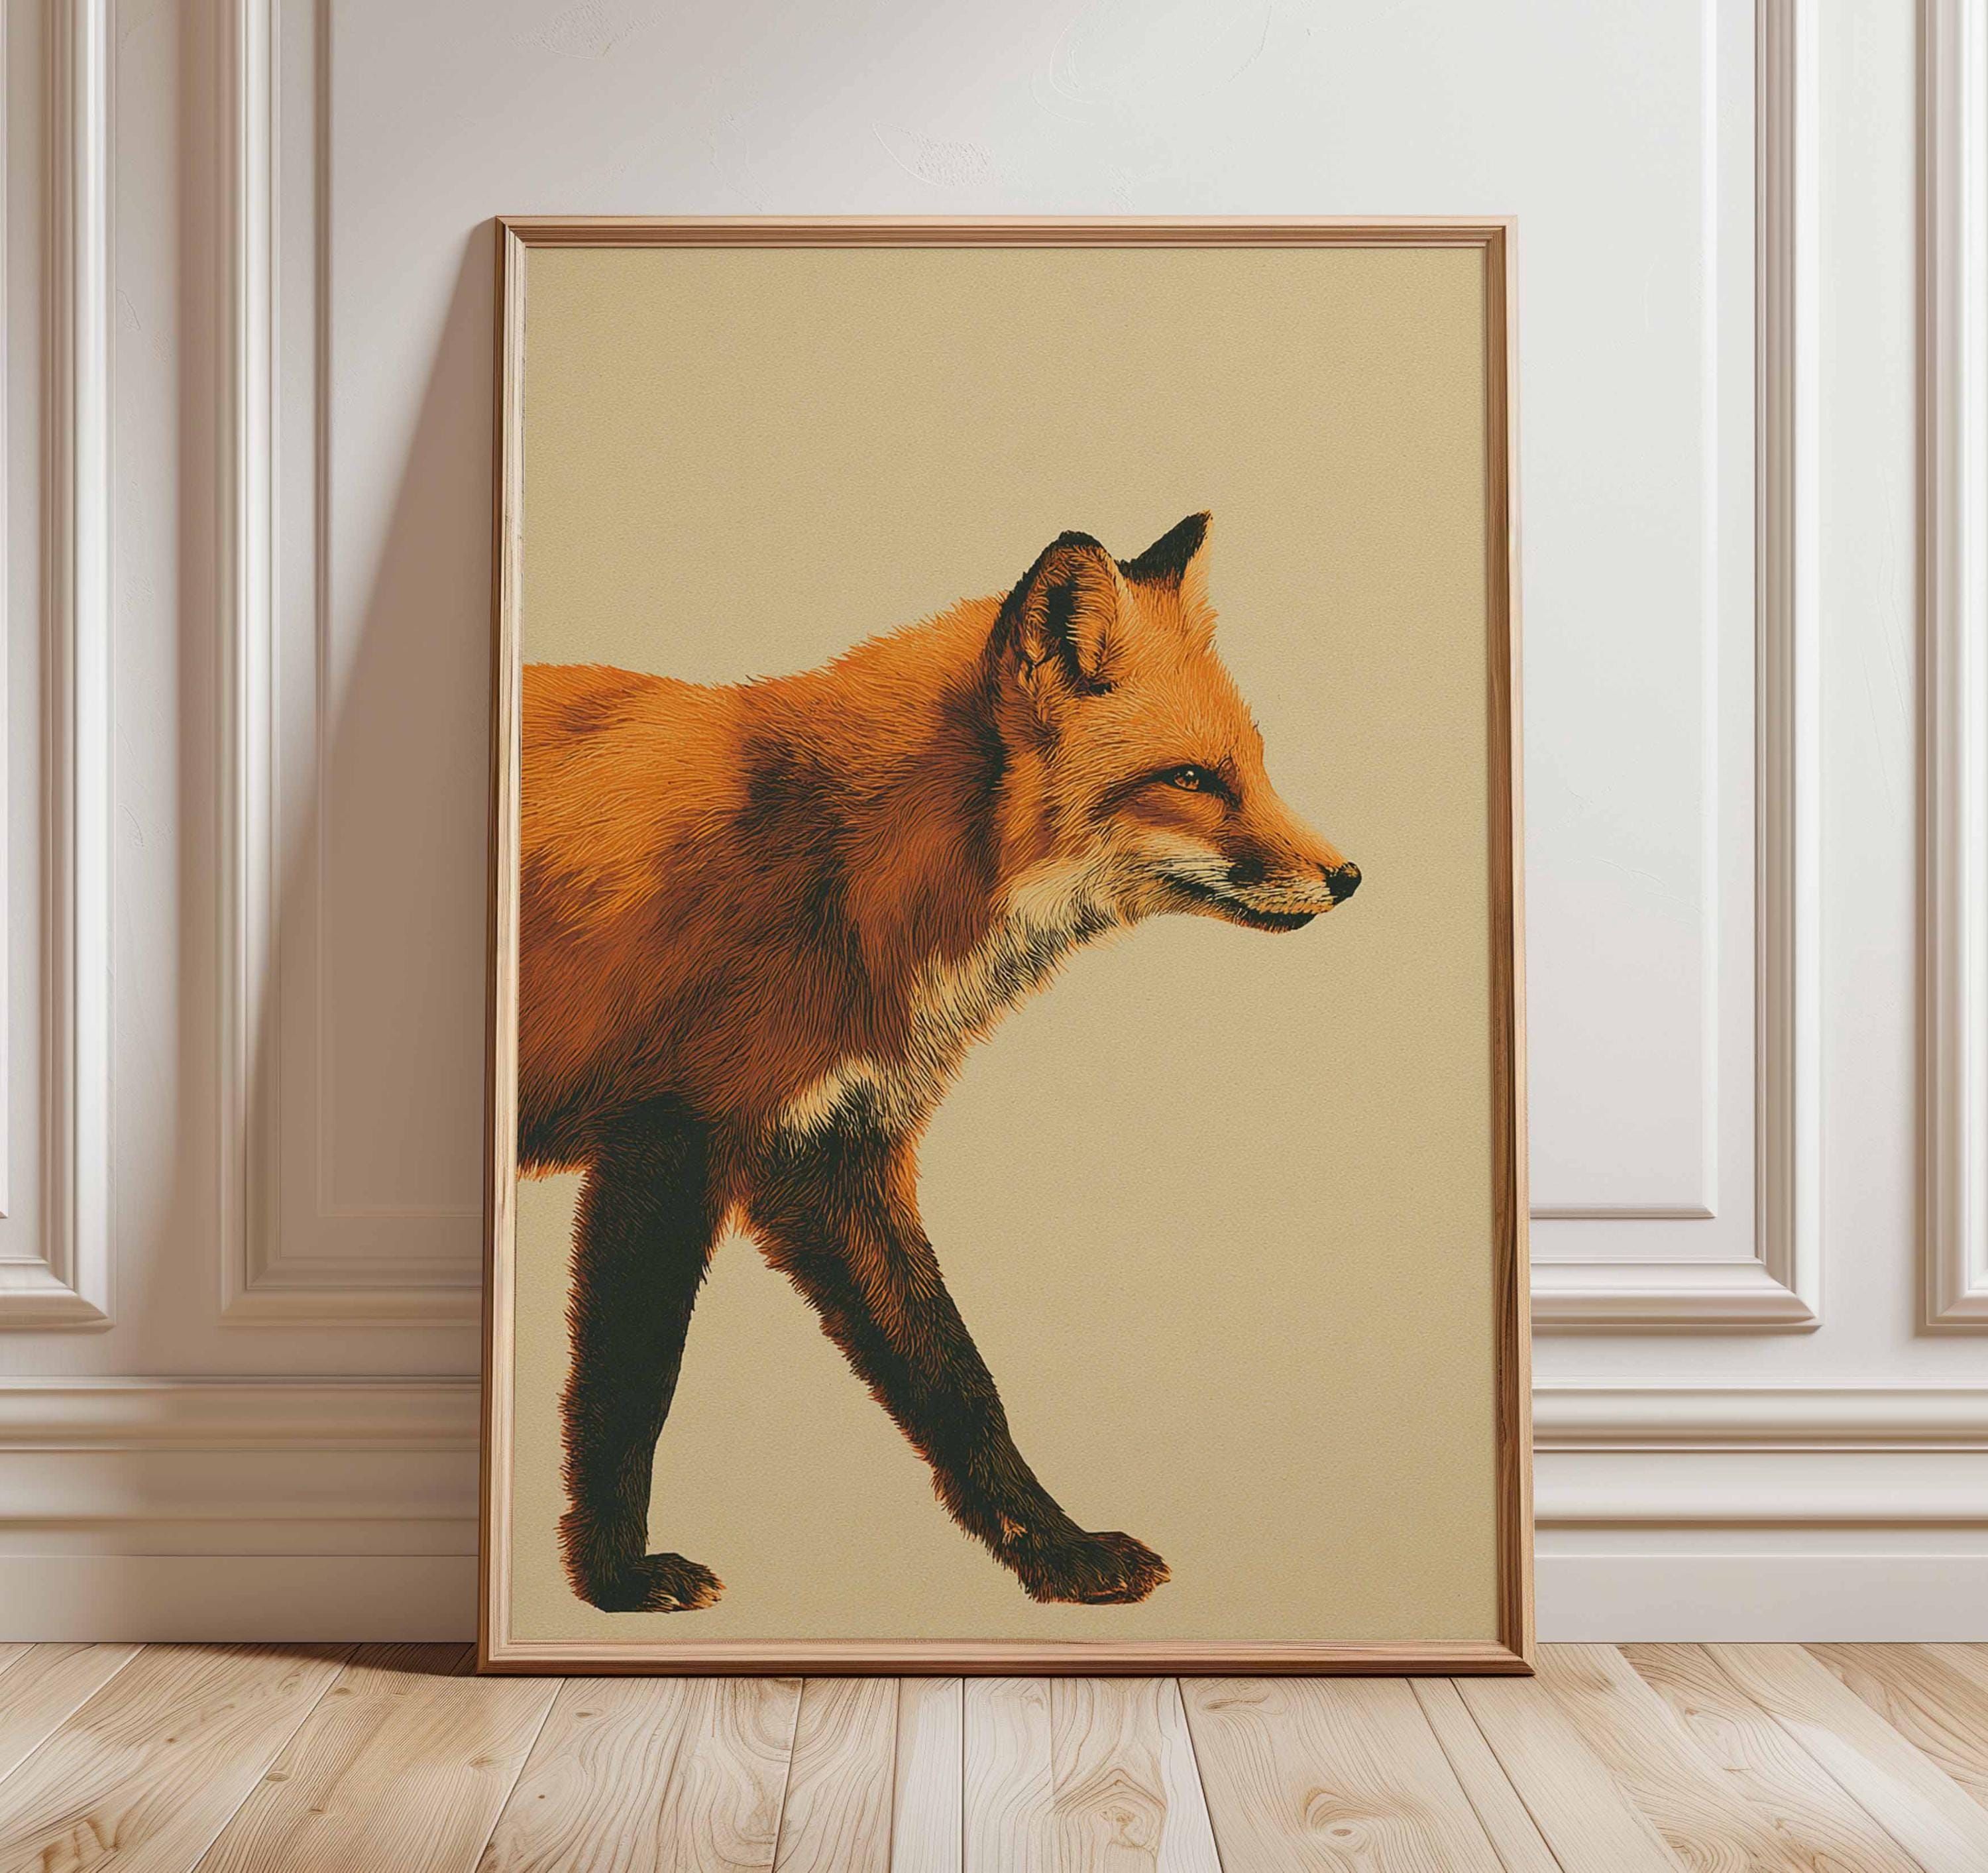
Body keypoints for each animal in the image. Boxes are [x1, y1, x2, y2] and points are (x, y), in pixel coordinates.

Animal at [519, 512, 1360, 1613]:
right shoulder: (667, 1142)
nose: (1349, 876)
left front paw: (1055, 1548)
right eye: (1192, 779)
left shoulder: (831, 1154)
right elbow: (630, 1383)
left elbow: (956, 1379)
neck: (843, 862)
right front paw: (616, 1577)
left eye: (1254, 767)